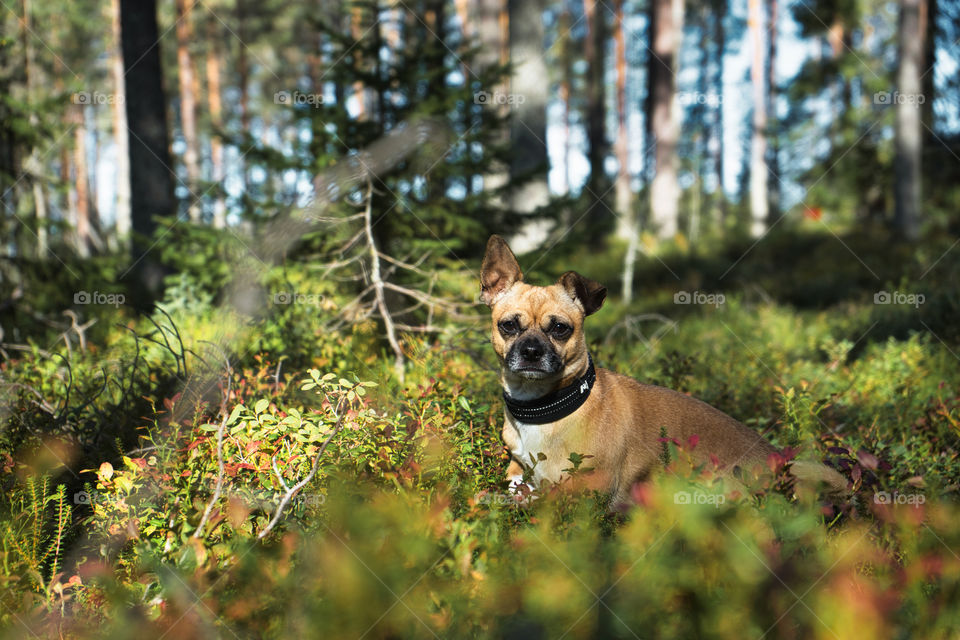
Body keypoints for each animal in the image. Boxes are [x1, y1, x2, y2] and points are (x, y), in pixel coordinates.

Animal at [480, 232, 848, 508]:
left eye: (560, 329)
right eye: (508, 326)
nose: (531, 351)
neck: (543, 408)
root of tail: (782, 464)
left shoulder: (588, 489)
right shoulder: (518, 471)